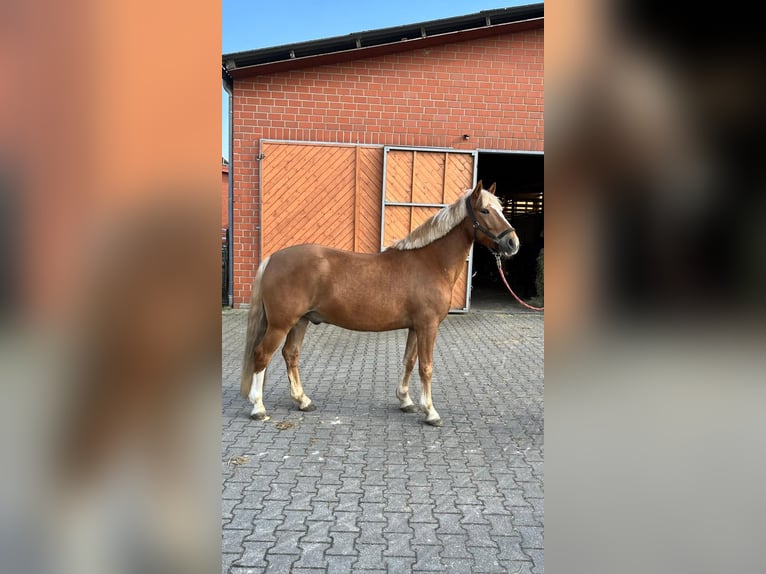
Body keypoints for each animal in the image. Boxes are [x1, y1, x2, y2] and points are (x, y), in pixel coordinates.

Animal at [240, 180, 519, 426]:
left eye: (501, 208)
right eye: (485, 210)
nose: (512, 243)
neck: (430, 262)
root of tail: (273, 258)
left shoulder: (415, 327)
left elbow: (409, 361)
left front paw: (405, 401)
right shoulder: (428, 326)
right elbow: (426, 367)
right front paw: (430, 412)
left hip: (301, 321)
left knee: (291, 355)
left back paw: (303, 401)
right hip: (281, 324)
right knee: (262, 355)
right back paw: (258, 408)